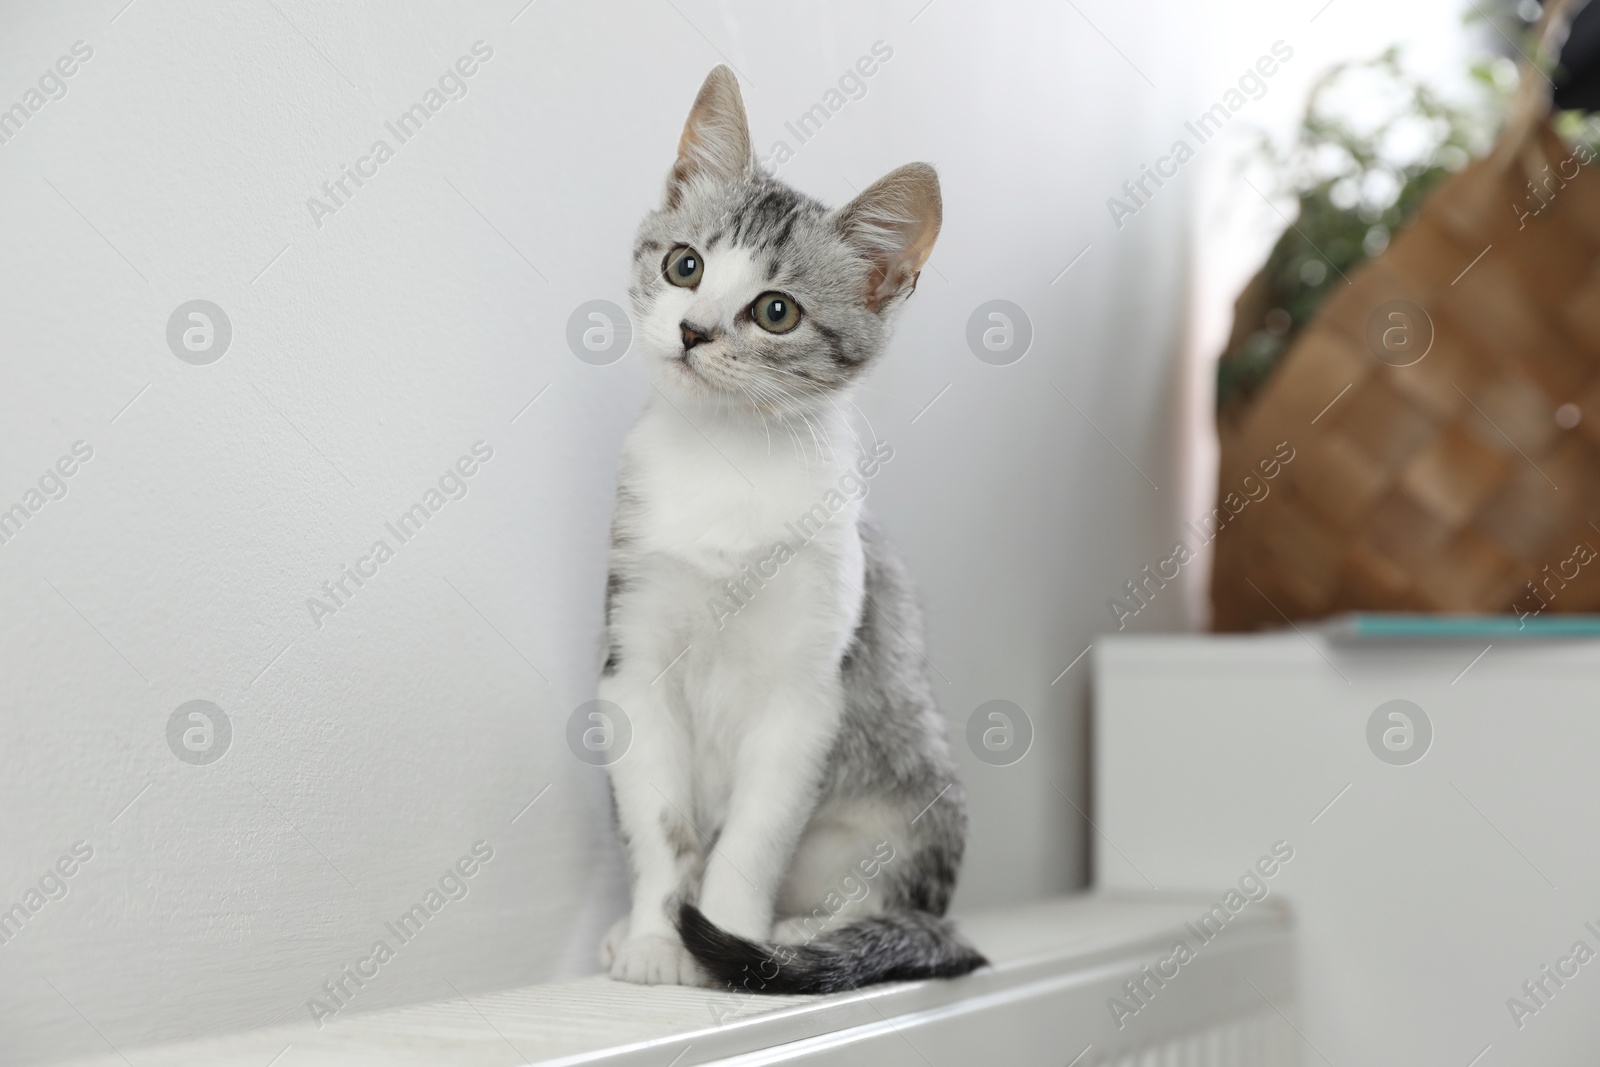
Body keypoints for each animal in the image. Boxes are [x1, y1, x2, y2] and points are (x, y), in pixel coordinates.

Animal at [595, 64, 979, 991]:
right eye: (685, 264)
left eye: (776, 312)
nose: (693, 330)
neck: (726, 459)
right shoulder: (634, 665)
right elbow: (663, 826)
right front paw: (657, 934)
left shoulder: (807, 695)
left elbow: (752, 837)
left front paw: (731, 941)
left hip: (913, 798)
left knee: (903, 907)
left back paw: (807, 933)